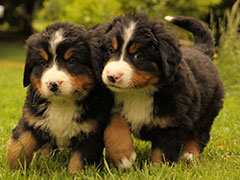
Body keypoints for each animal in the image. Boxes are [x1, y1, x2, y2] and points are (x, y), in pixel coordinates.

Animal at [5, 21, 112, 172]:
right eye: (43, 63)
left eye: (72, 61)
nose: (53, 84)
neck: (62, 103)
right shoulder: (31, 119)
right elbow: (19, 144)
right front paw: (13, 170)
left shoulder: (91, 131)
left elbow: (80, 161)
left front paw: (76, 174)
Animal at [91, 13, 223, 169]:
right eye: (111, 50)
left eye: (138, 55)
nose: (112, 76)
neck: (138, 92)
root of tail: (202, 52)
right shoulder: (113, 108)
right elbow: (115, 126)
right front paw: (123, 156)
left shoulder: (172, 123)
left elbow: (162, 152)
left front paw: (158, 170)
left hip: (208, 112)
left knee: (199, 134)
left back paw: (189, 156)